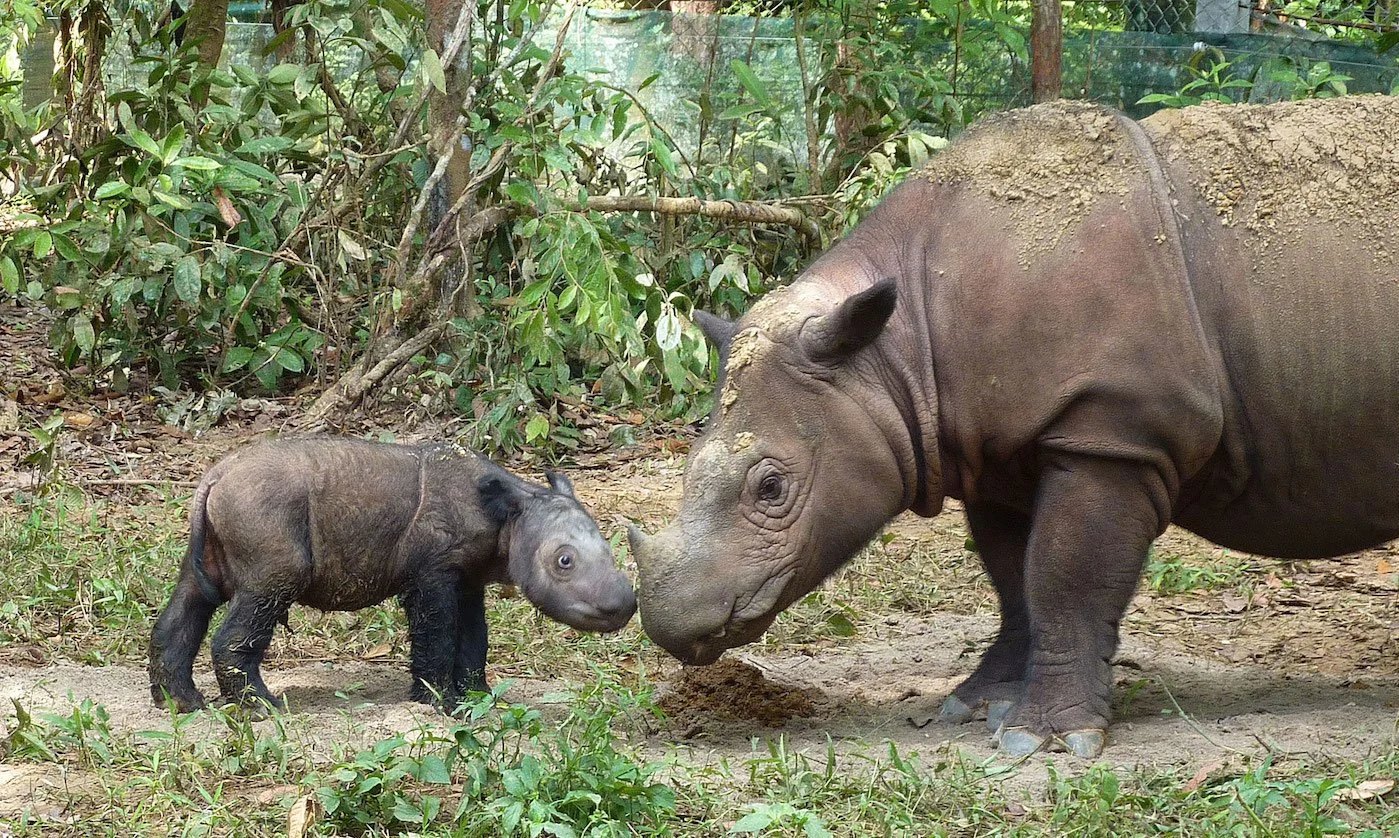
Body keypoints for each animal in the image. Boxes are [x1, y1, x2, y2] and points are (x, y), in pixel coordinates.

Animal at [149, 438, 636, 712]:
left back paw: (181, 705)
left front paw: (480, 698)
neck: (510, 515)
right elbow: (437, 634)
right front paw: (440, 705)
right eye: (564, 562)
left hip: (222, 520)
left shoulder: (467, 578)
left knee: (192, 597)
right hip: (262, 513)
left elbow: (474, 638)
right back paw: (262, 708)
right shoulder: (433, 573)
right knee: (266, 591)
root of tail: (214, 476)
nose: (625, 605)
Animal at [629, 96, 1399, 757]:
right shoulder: (993, 448)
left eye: (771, 488)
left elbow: (1064, 574)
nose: (669, 625)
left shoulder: (1112, 431)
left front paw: (1046, 740)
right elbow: (1013, 578)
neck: (893, 352)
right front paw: (977, 704)